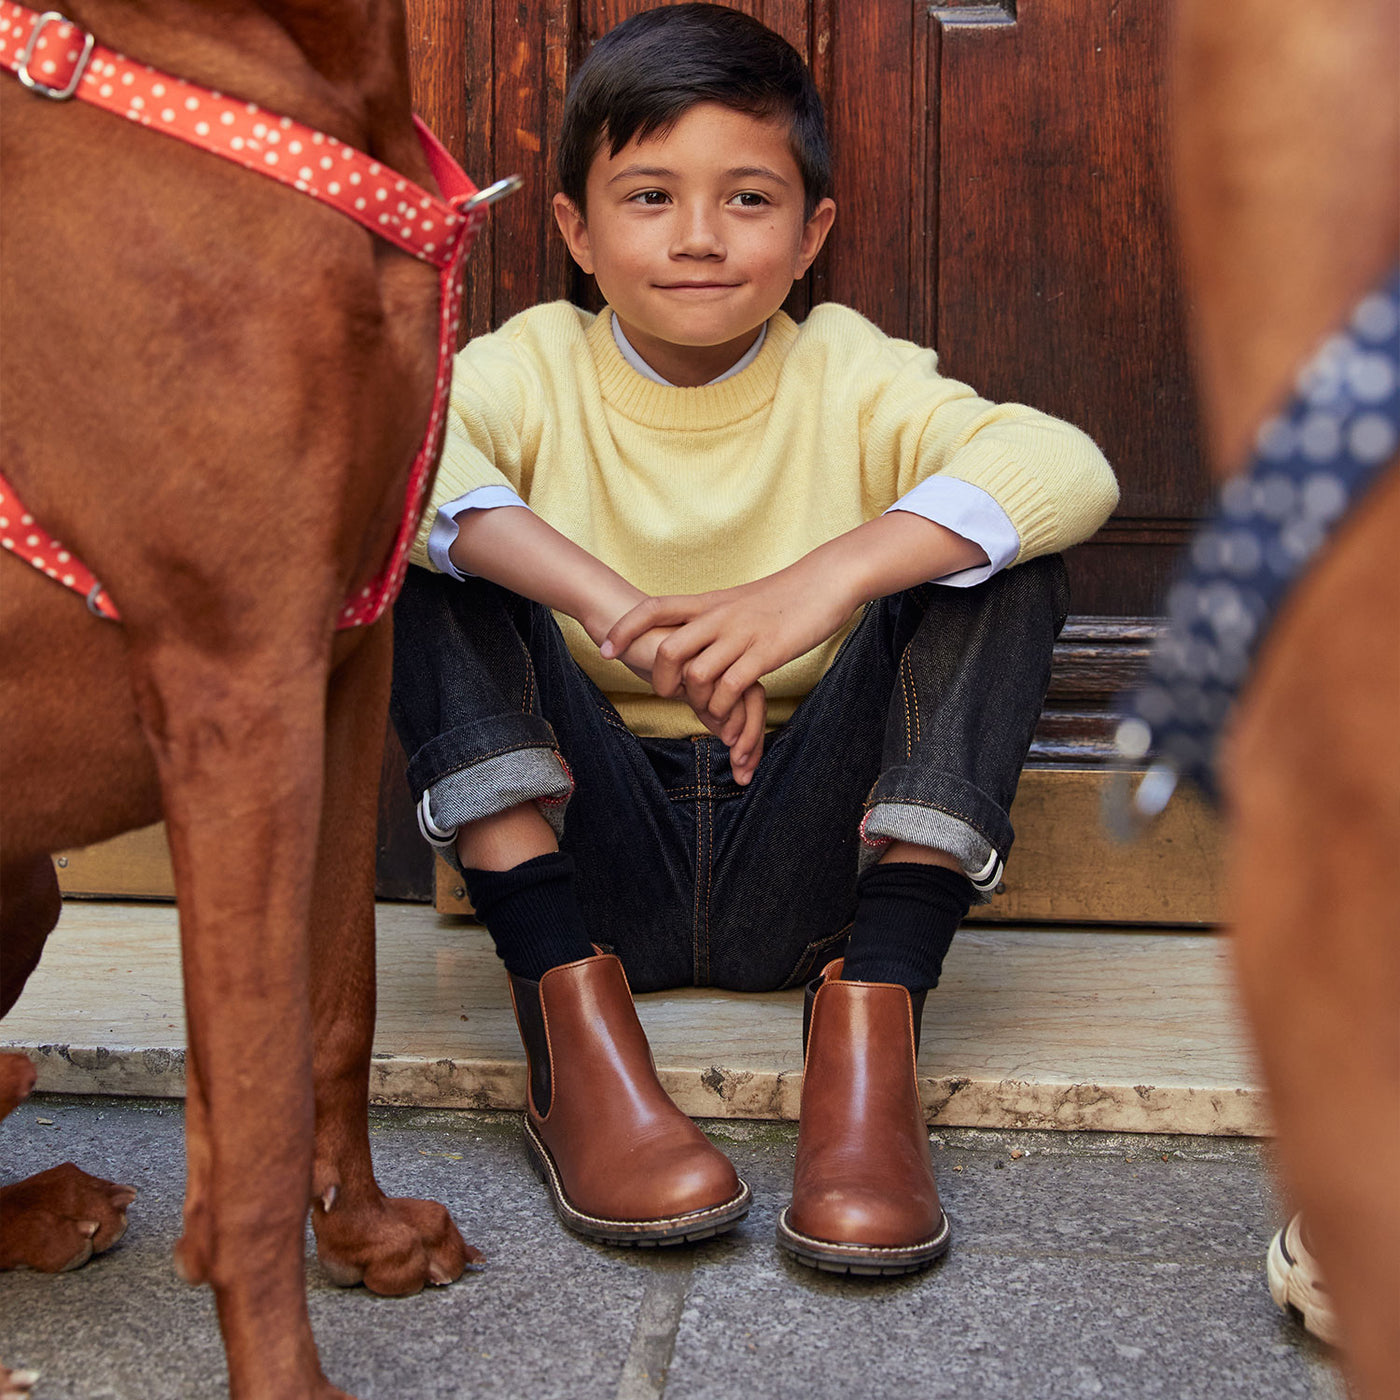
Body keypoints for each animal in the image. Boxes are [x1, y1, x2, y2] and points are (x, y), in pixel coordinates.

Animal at [1, 2, 476, 1400]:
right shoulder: (238, 675)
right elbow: (256, 1102)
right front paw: (286, 1375)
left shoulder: (345, 651)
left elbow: (335, 998)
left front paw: (365, 1235)